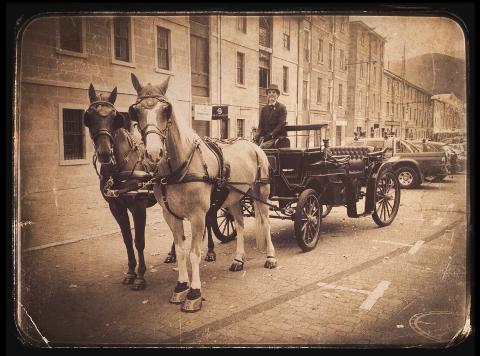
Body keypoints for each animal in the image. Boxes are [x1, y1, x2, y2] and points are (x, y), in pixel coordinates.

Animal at [83, 85, 156, 290]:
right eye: (89, 117)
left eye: (114, 118)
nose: (104, 153)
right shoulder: (116, 207)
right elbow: (127, 240)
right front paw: (130, 272)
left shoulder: (138, 207)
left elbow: (139, 241)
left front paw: (140, 276)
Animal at [128, 73, 278, 312]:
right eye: (136, 110)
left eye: (166, 110)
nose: (153, 153)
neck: (181, 168)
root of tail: (254, 145)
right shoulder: (170, 215)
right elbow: (181, 251)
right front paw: (181, 286)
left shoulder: (198, 216)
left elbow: (194, 253)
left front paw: (194, 293)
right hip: (234, 198)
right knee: (239, 225)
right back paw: (238, 259)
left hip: (261, 194)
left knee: (265, 222)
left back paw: (271, 257)